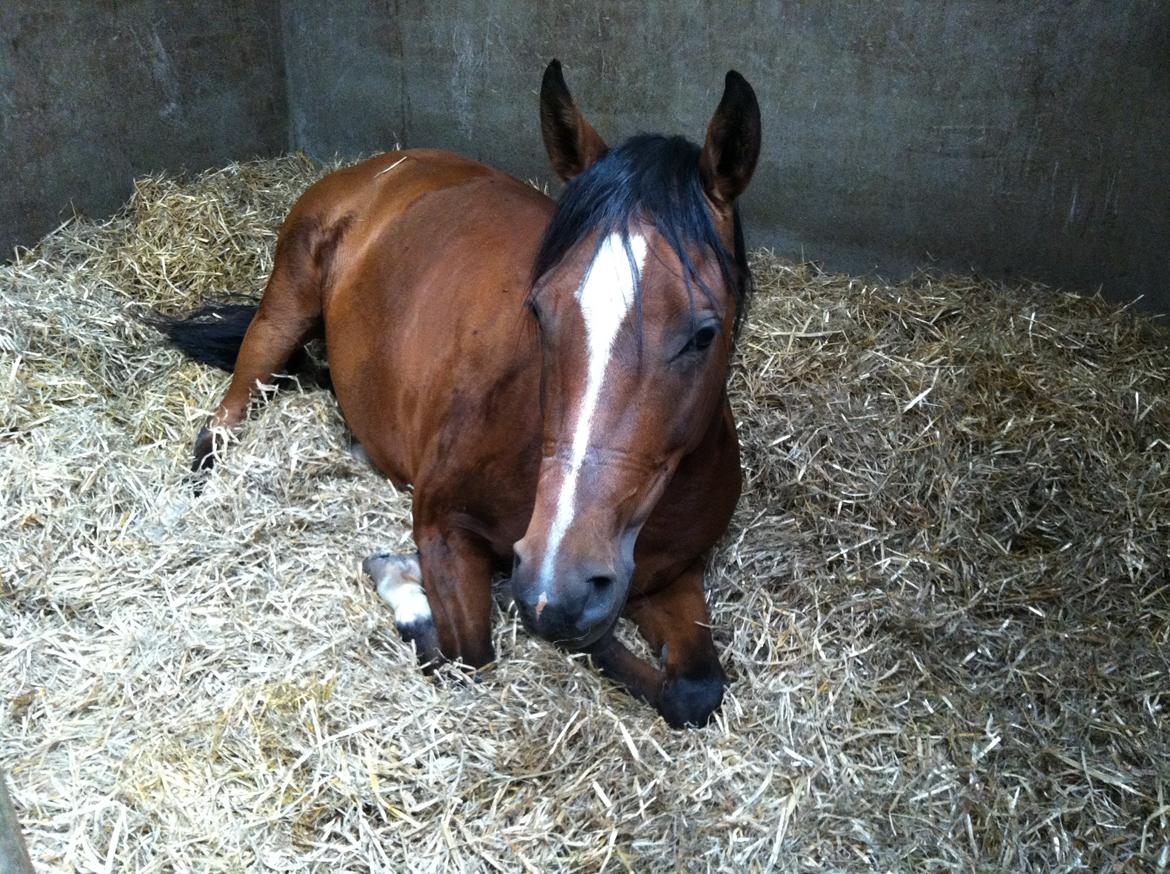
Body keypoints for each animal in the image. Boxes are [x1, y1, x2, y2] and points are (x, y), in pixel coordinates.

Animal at [157, 61, 758, 730]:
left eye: (704, 334)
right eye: (538, 310)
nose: (558, 584)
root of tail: (378, 168)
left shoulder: (673, 573)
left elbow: (695, 689)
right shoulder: (444, 526)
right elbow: (465, 652)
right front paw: (402, 581)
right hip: (283, 311)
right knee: (224, 420)